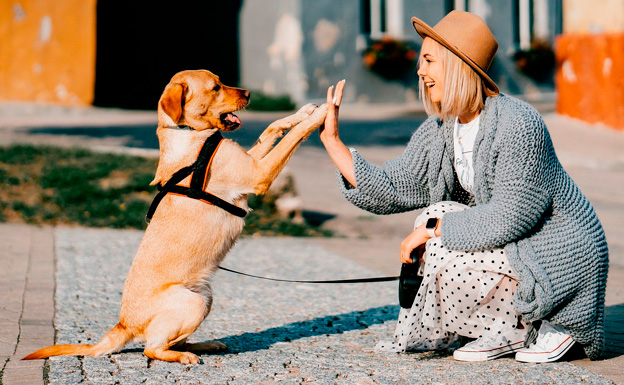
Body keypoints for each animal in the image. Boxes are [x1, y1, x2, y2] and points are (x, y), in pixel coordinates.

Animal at [22, 70, 330, 364]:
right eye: (215, 87)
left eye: (221, 81)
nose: (249, 93)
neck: (190, 134)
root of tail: (123, 324)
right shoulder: (258, 174)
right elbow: (292, 137)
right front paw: (322, 114)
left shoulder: (252, 161)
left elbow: (272, 127)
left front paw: (303, 112)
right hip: (193, 304)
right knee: (151, 349)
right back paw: (184, 356)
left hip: (205, 297)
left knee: (172, 341)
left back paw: (206, 345)